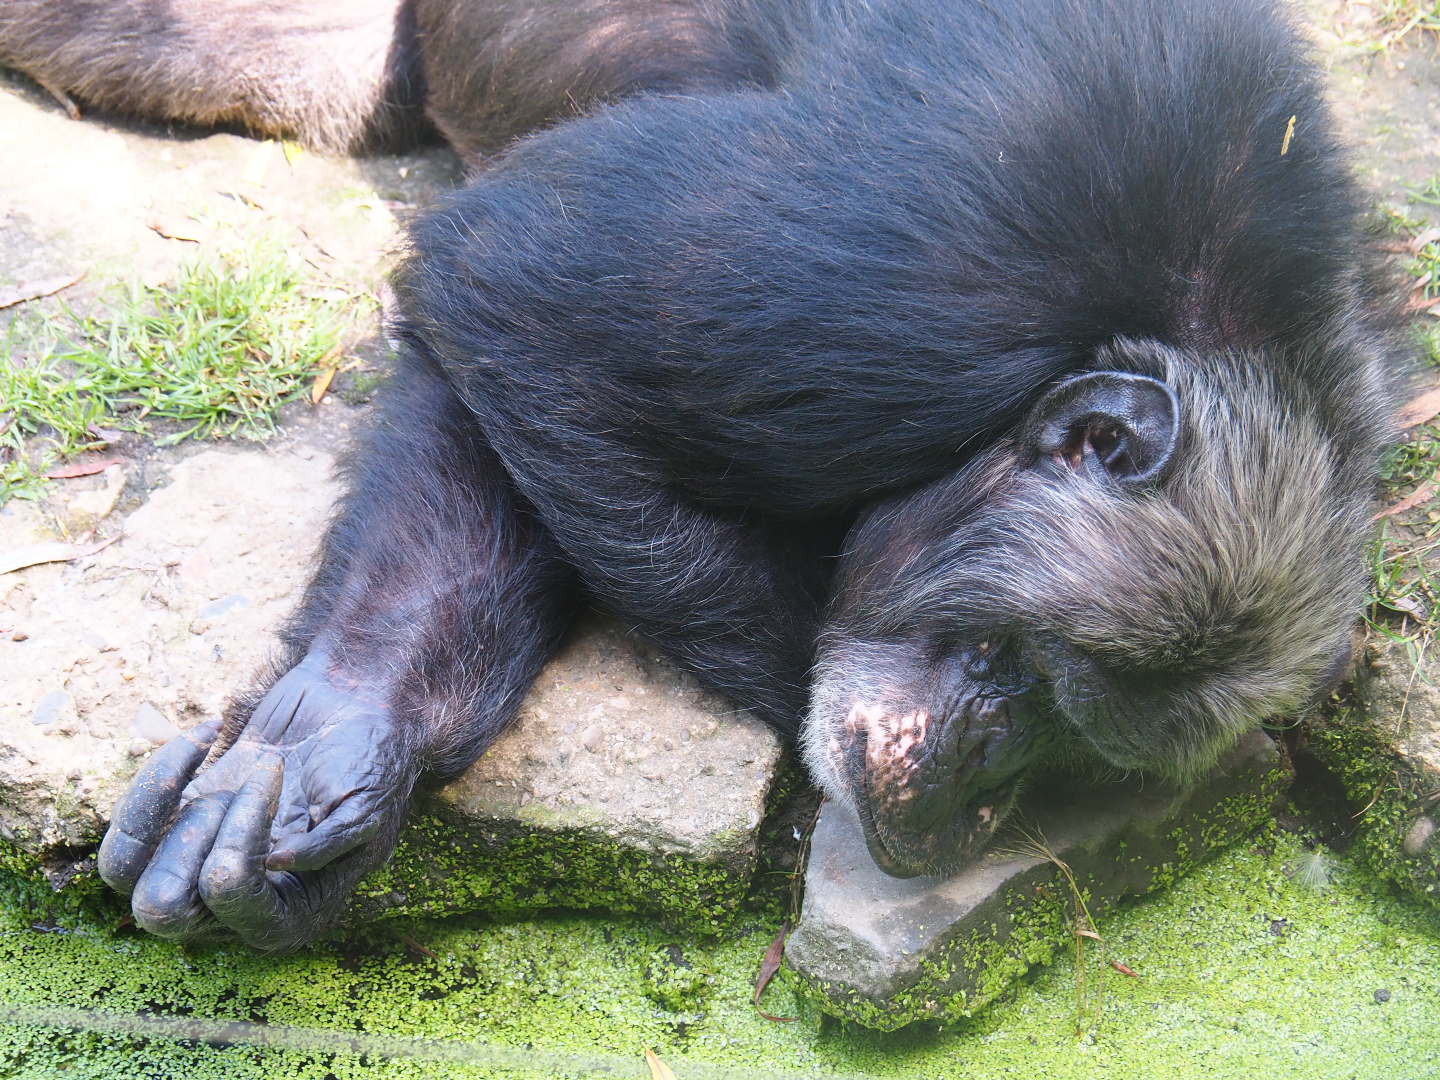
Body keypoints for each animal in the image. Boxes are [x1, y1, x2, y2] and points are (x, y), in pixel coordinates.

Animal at [0, 0, 1401, 952]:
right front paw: (340, 718)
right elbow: (523, 294)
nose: (973, 789)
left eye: (1076, 754)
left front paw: (349, 730)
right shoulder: (913, 271)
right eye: (1026, 679)